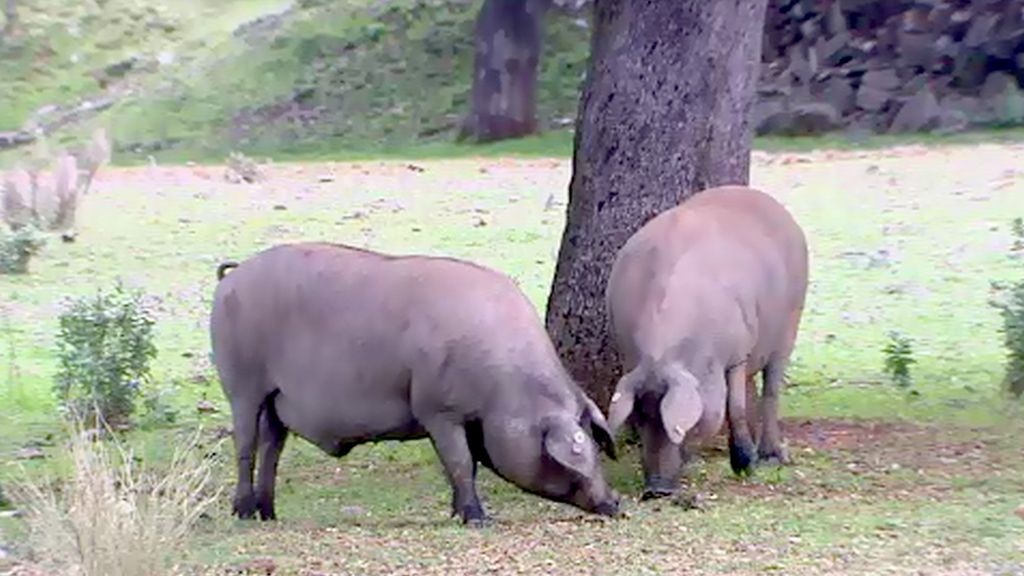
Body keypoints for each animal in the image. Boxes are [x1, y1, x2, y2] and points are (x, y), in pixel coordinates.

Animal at [211, 239, 618, 522]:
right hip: (241, 385)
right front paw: (478, 519)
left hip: (276, 401)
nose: (616, 502)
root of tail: (234, 275)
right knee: (245, 445)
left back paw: (269, 514)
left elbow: (465, 465)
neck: (506, 389)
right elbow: (458, 462)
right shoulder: (438, 410)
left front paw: (458, 514)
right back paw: (244, 513)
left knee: (271, 447)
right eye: (583, 448)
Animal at [602, 184, 811, 498]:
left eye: (680, 426)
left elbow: (734, 407)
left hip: (791, 320)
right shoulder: (629, 356)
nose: (657, 490)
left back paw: (772, 457)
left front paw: (745, 467)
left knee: (771, 387)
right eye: (637, 418)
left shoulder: (737, 354)